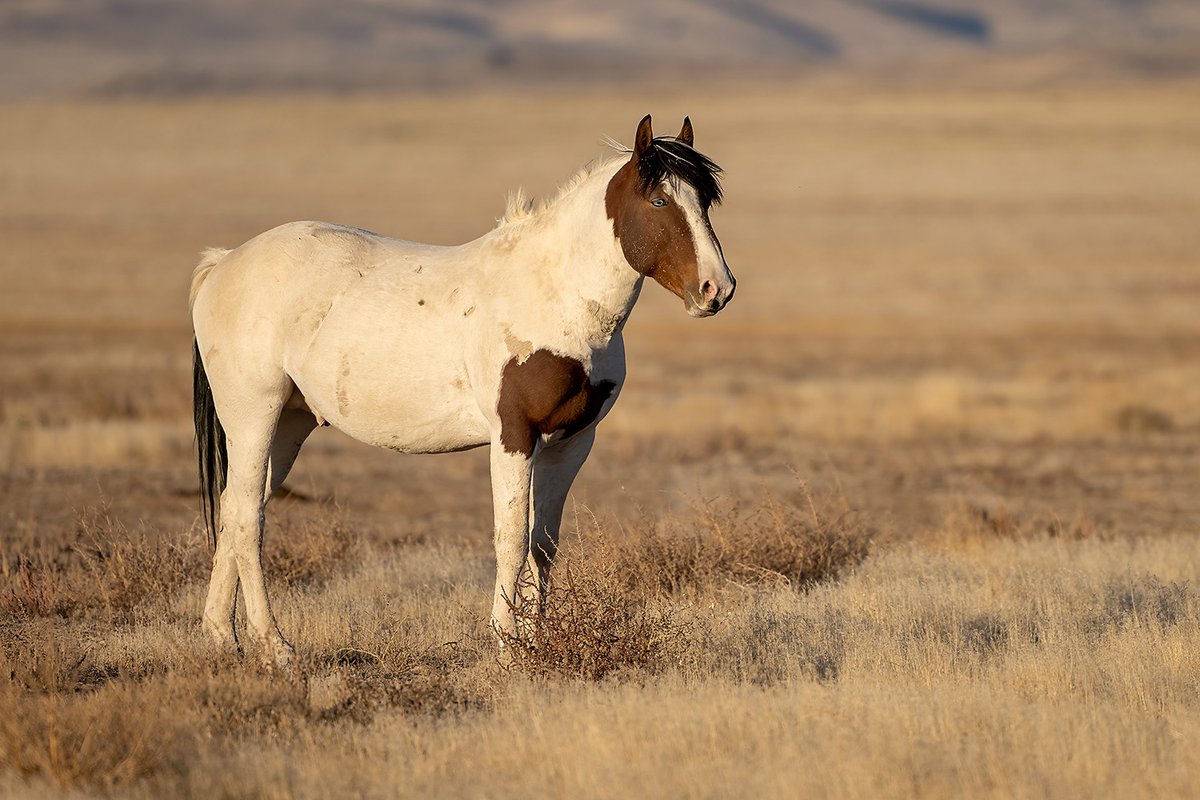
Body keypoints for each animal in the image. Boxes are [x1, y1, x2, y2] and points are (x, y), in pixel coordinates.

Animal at [190, 114, 736, 666]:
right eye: (659, 201)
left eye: (705, 201)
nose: (717, 289)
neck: (555, 296)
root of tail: (224, 263)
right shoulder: (514, 435)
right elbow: (511, 538)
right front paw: (506, 644)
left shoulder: (573, 442)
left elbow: (543, 543)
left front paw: (537, 641)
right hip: (253, 417)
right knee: (247, 521)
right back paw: (274, 645)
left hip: (288, 425)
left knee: (237, 507)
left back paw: (221, 636)